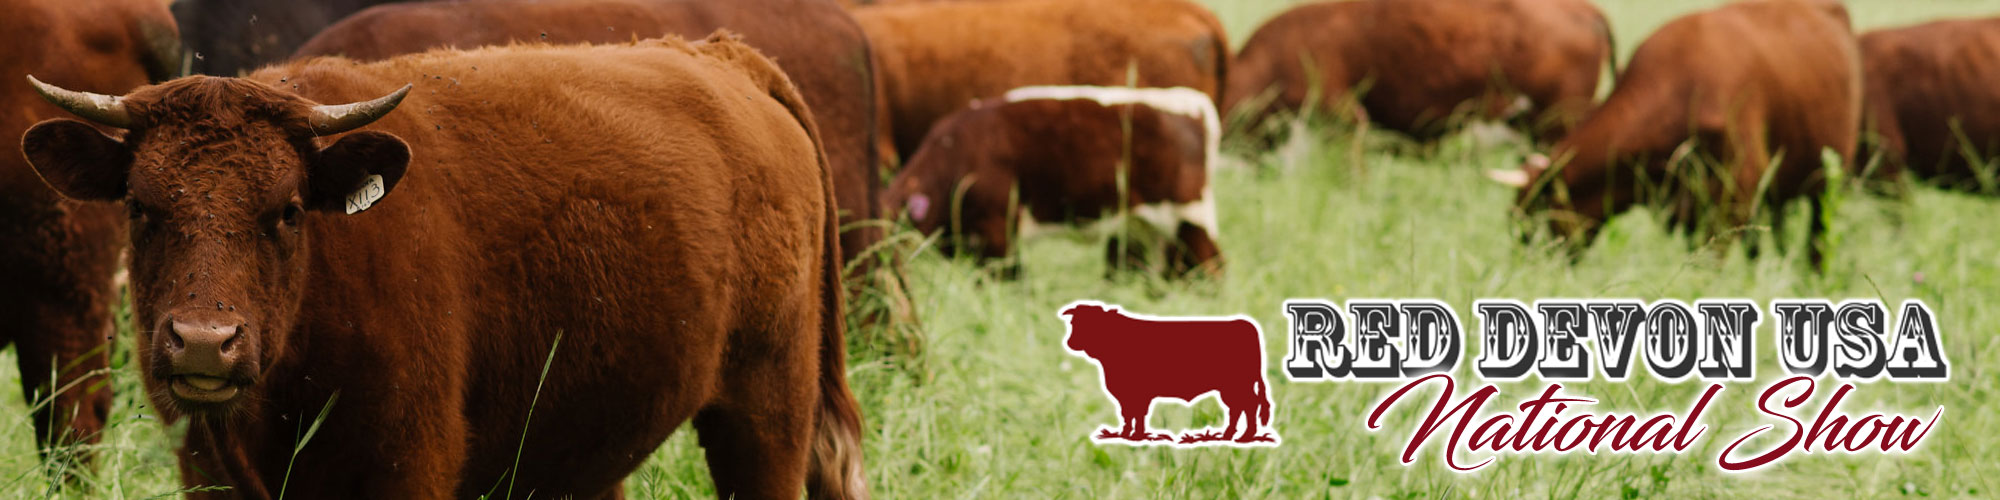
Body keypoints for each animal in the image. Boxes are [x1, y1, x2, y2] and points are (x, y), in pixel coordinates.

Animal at [19, 34, 867, 499]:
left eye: (287, 211)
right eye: (141, 207)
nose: (203, 342)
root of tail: (722, 57)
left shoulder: (411, 466)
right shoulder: (206, 469)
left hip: (766, 412)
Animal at [880, 86, 1221, 278]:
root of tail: (1190, 101)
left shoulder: (997, 229)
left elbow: (1011, 279)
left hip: (1190, 214)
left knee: (1211, 264)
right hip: (1144, 224)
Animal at [1059, 302, 1273, 444]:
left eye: (1091, 324)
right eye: (1074, 323)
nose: (1070, 342)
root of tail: (1245, 323)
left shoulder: (1138, 393)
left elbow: (1138, 413)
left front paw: (1136, 437)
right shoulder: (1125, 392)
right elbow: (1128, 413)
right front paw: (1126, 434)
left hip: (1238, 384)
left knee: (1249, 405)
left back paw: (1245, 437)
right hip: (1229, 388)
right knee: (1237, 408)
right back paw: (1228, 435)